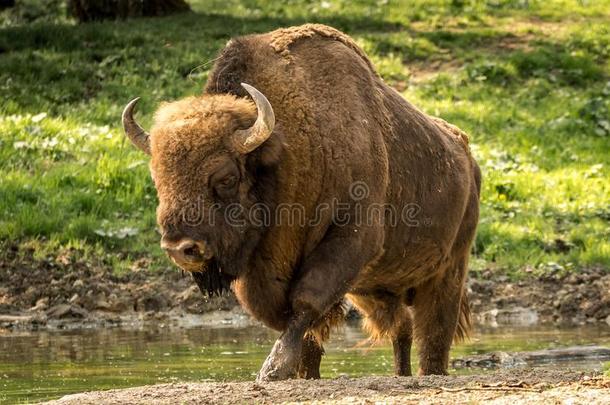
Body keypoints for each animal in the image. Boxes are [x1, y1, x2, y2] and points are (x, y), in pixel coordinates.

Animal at [120, 23, 480, 380]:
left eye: (226, 178)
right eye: (158, 179)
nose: (180, 248)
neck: (289, 147)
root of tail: (467, 156)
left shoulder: (351, 240)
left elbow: (307, 302)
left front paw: (273, 370)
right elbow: (298, 325)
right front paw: (302, 372)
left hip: (447, 273)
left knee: (433, 336)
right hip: (373, 288)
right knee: (401, 327)